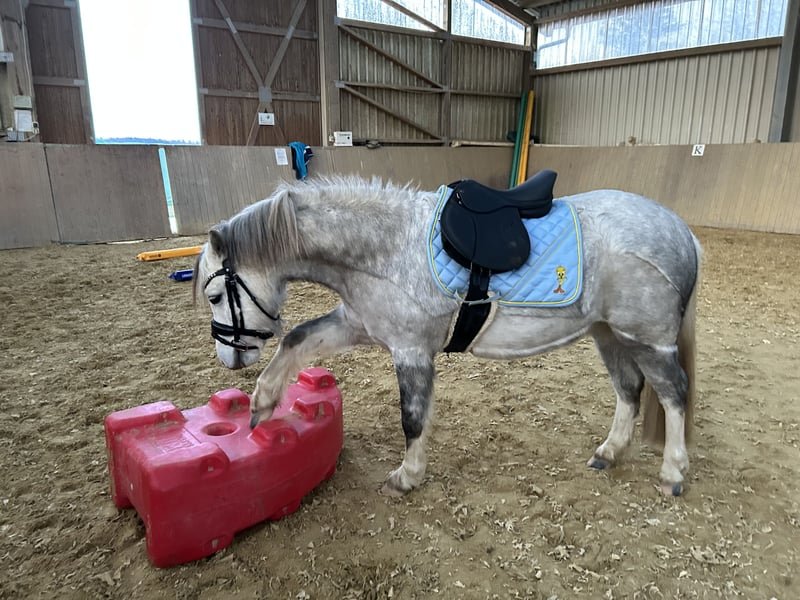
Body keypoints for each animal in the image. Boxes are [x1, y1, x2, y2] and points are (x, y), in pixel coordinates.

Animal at [194, 176, 701, 497]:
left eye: (216, 294)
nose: (229, 358)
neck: (385, 247)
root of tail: (682, 230)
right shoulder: (357, 325)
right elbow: (297, 339)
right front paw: (261, 404)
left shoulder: (411, 349)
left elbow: (412, 418)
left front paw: (408, 476)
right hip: (609, 334)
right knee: (629, 390)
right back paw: (609, 452)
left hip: (647, 339)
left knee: (674, 393)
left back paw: (673, 471)